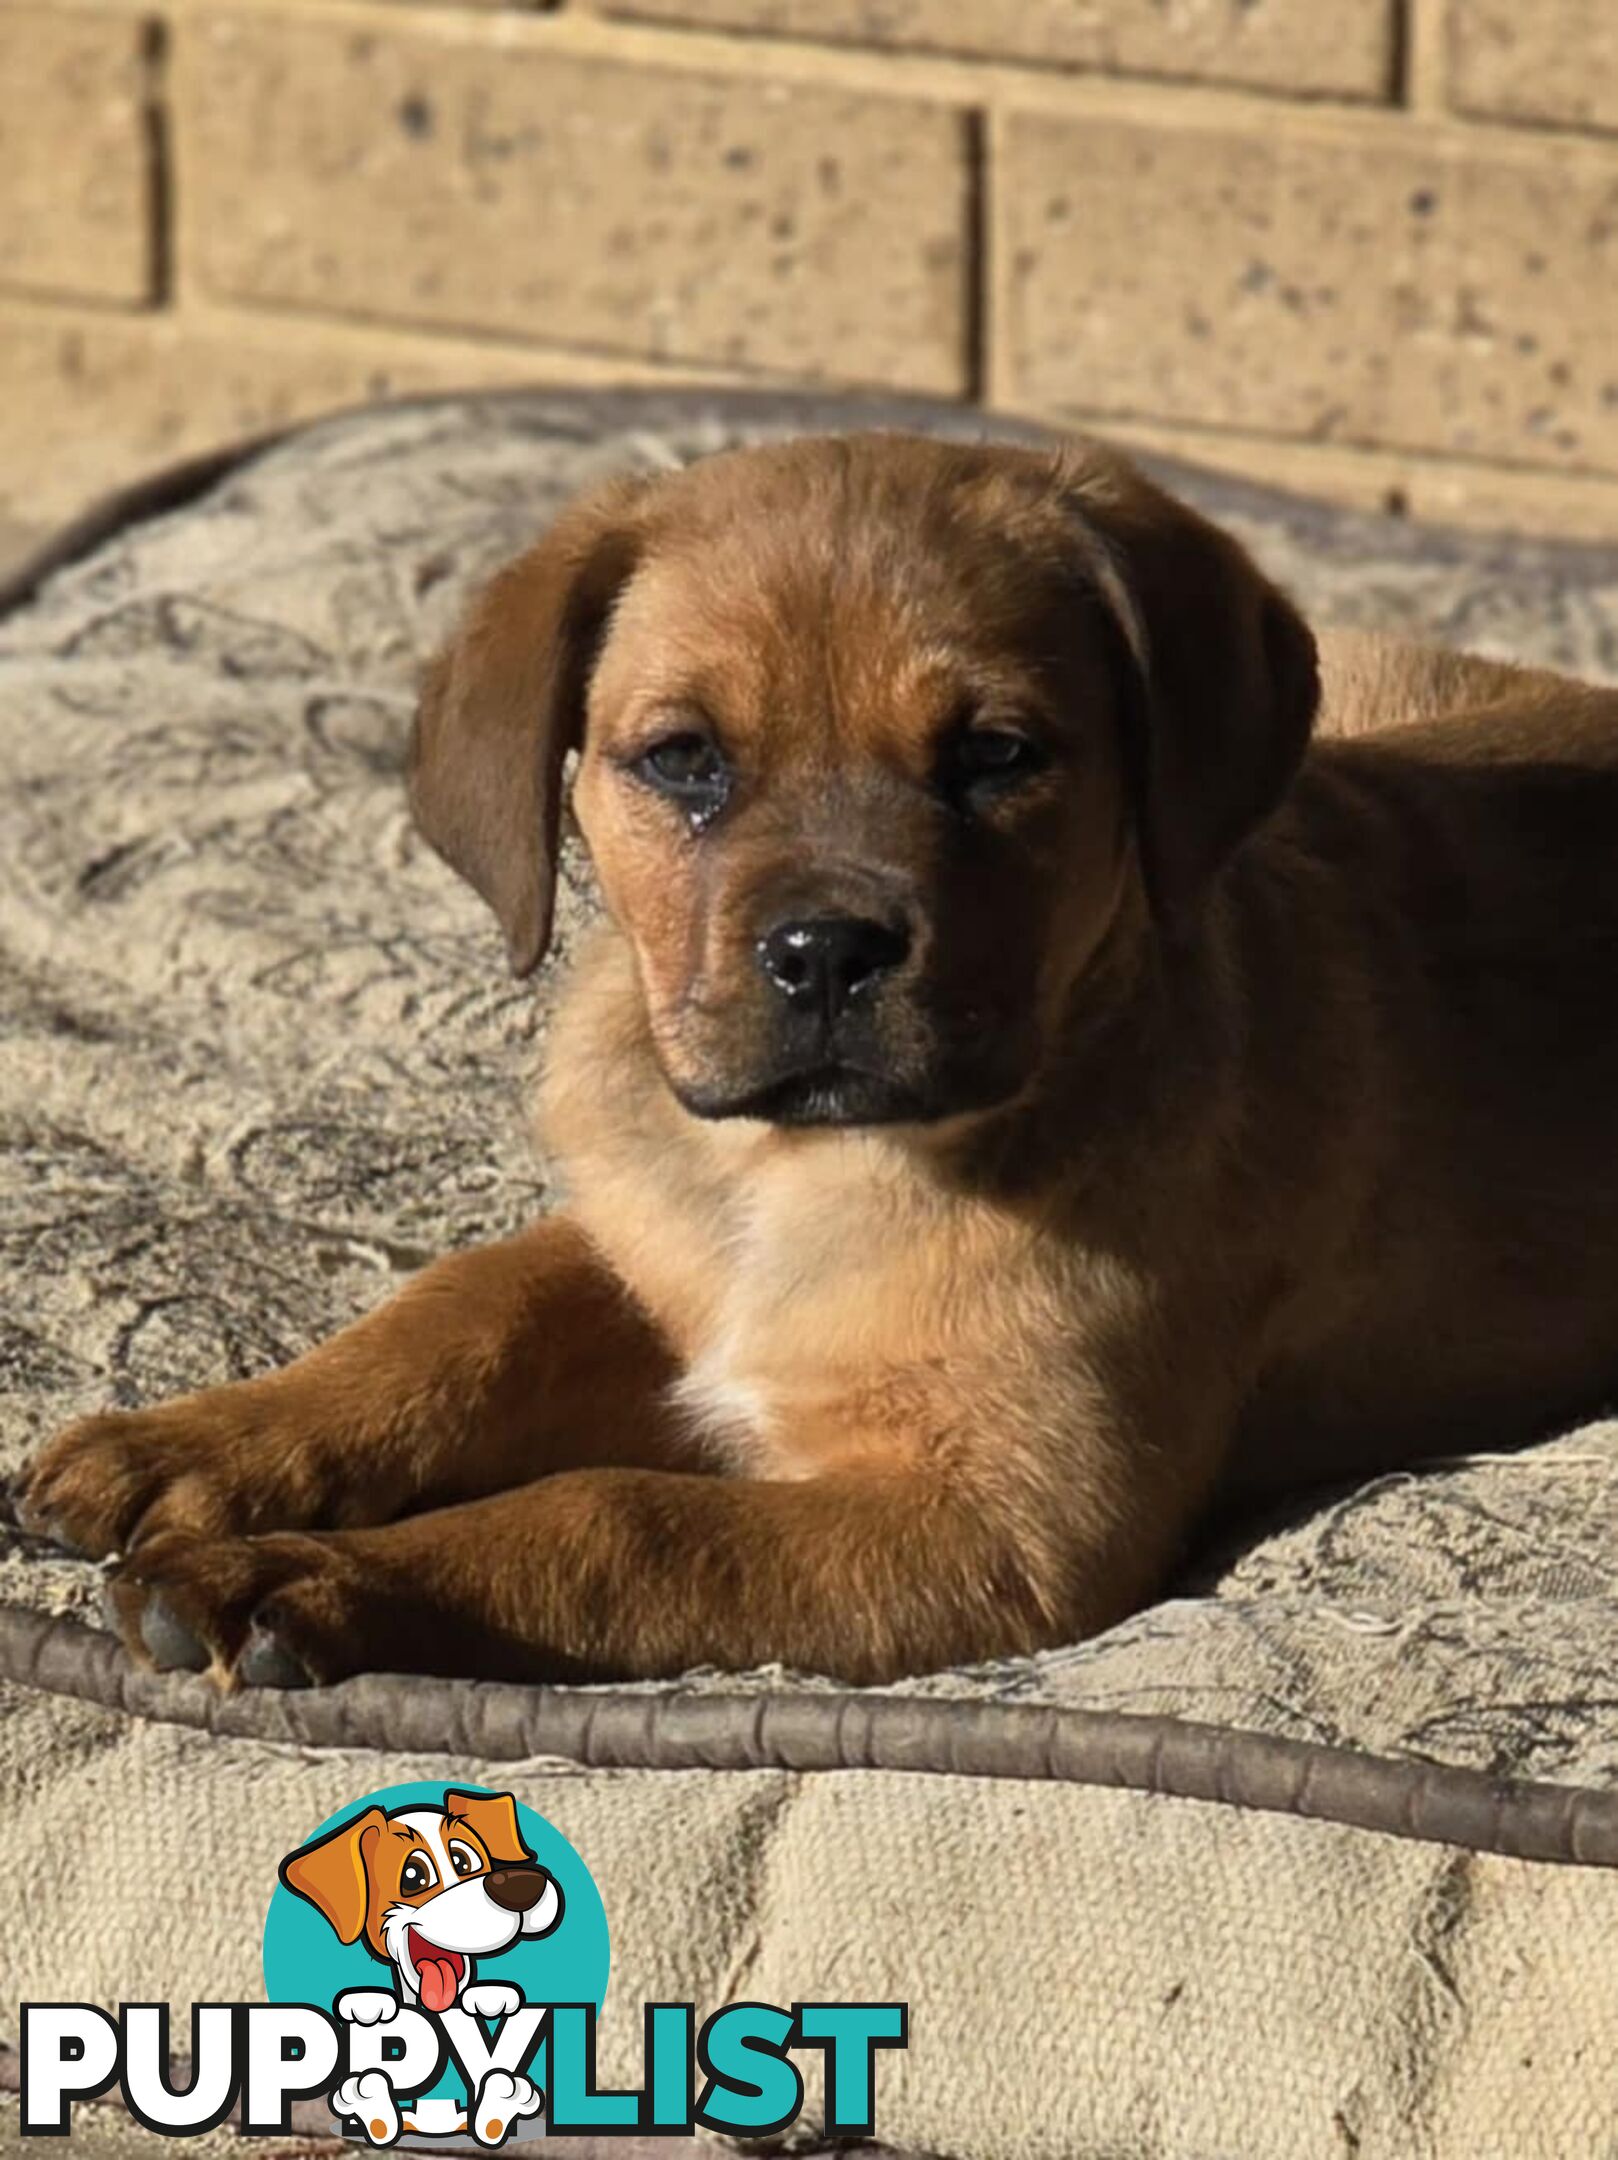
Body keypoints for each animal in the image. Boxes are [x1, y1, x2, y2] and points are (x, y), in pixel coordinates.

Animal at [12, 434, 1615, 1684]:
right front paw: (204, 1442)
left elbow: (616, 1519)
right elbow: (453, 1313)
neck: (796, 1173)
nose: (830, 954)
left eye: (997, 755)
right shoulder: (645, 1251)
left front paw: (307, 1576)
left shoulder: (1000, 1528)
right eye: (682, 760)